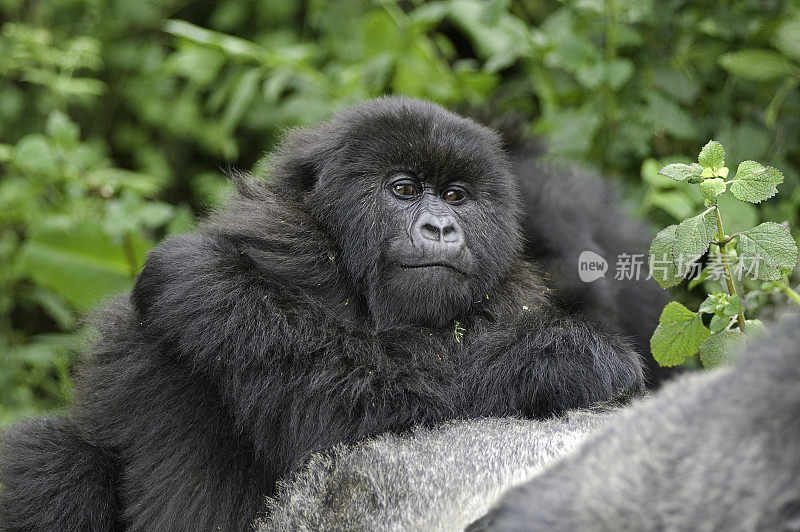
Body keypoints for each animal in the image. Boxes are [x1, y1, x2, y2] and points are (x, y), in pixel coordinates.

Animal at [0, 97, 640, 528]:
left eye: (457, 196)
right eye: (403, 189)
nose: (441, 227)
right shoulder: (274, 254)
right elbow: (341, 402)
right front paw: (568, 362)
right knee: (53, 463)